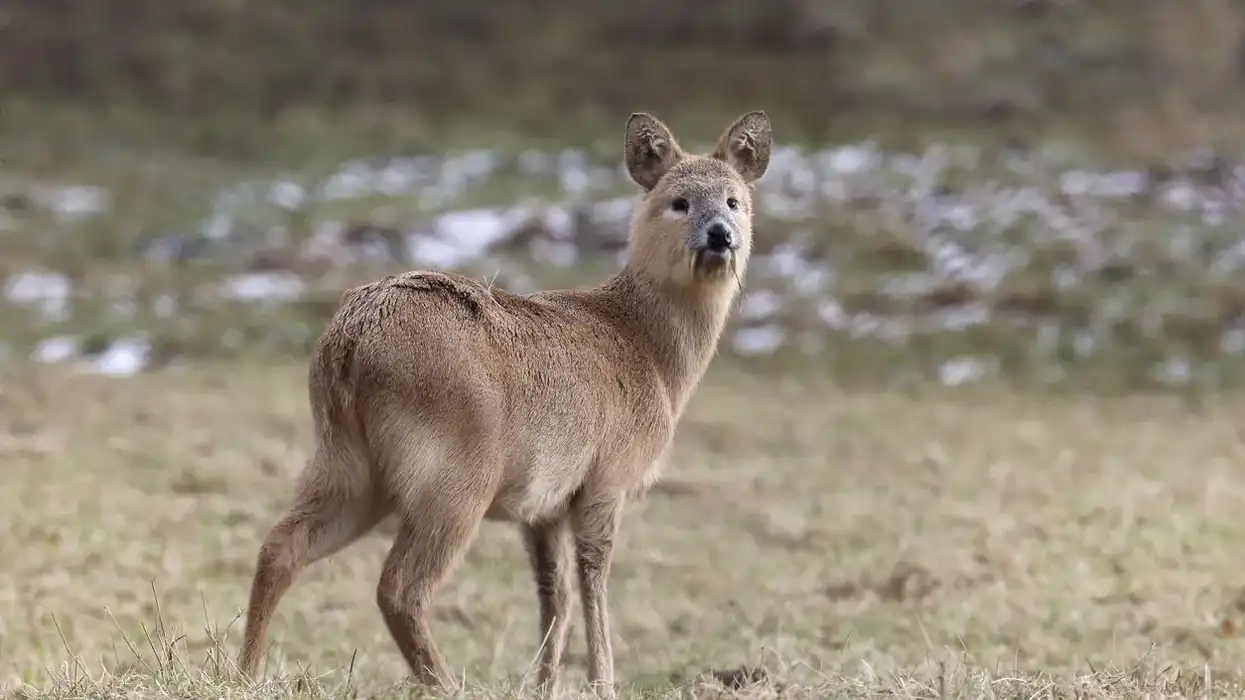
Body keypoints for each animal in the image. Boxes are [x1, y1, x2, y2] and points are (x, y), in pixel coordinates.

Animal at [235, 110, 773, 699]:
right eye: (679, 202)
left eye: (734, 201)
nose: (721, 235)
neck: (649, 352)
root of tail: (349, 341)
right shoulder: (606, 479)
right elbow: (593, 582)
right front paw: (602, 683)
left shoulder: (543, 505)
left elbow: (553, 593)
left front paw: (544, 686)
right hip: (453, 474)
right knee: (400, 586)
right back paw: (447, 684)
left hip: (346, 463)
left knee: (280, 547)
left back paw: (245, 674)